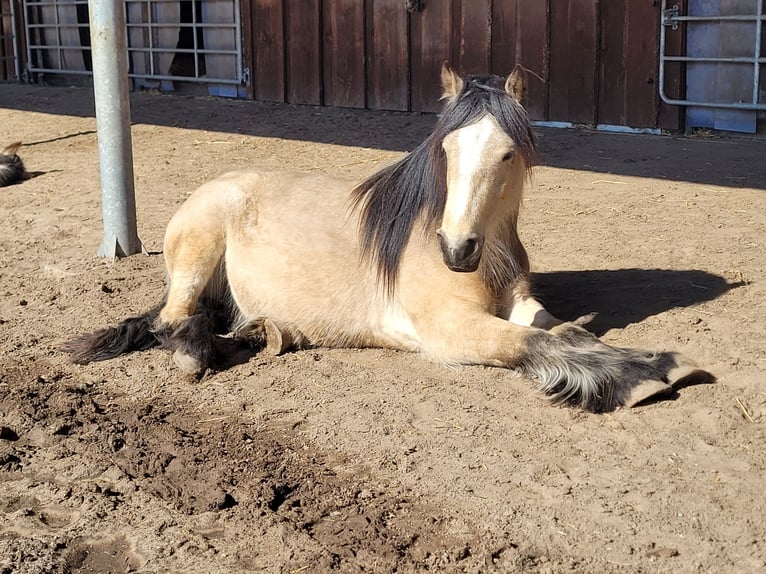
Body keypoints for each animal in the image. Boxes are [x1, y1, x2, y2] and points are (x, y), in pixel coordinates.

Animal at [65, 63, 713, 412]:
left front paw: (652, 365)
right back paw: (197, 356)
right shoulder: (450, 332)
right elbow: (536, 345)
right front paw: (647, 377)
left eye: (509, 152)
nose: (457, 250)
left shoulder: (522, 303)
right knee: (173, 318)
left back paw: (265, 333)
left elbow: (568, 334)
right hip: (199, 247)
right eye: (446, 148)